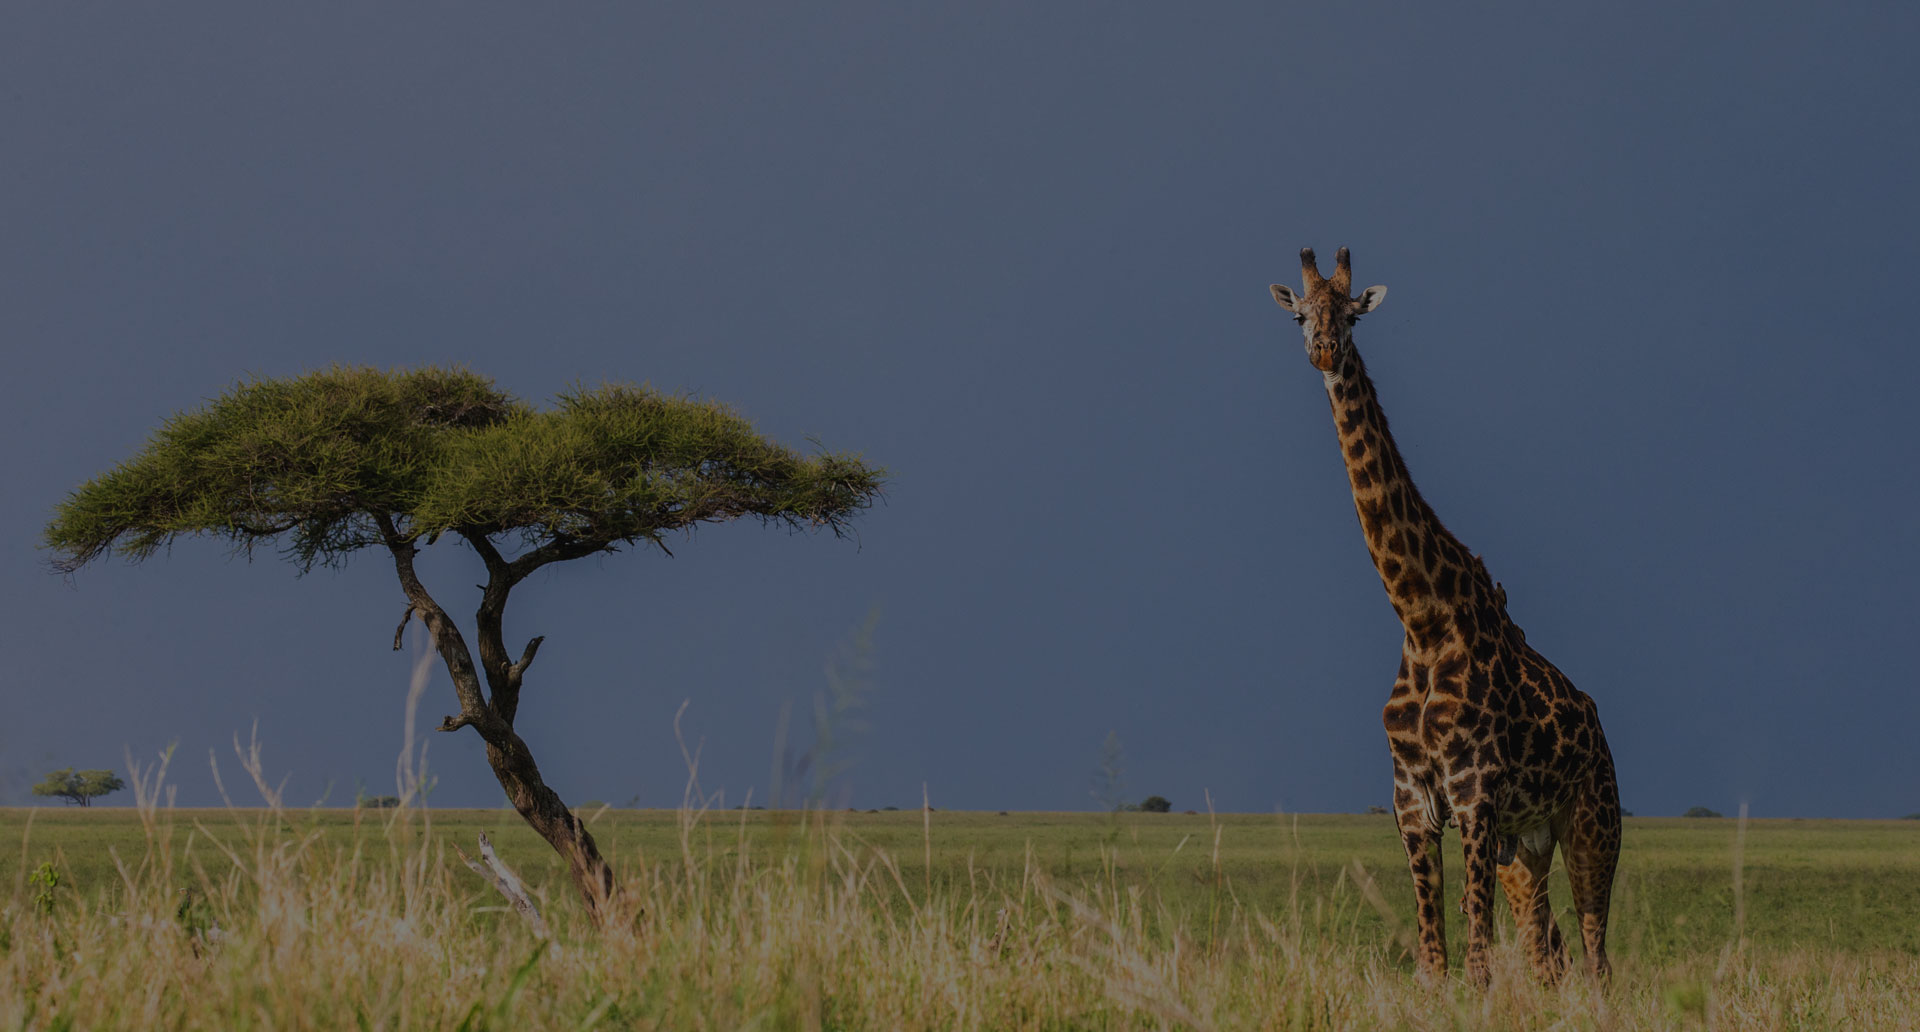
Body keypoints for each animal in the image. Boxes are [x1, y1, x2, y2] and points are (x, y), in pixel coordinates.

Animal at [1270, 248, 1621, 986]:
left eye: (1351, 314)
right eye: (1298, 314)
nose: (1323, 352)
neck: (1422, 618)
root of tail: (1598, 726)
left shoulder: (1474, 793)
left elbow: (1478, 961)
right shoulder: (1413, 801)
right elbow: (1436, 960)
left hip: (1592, 821)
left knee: (1595, 956)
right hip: (1528, 843)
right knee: (1547, 952)